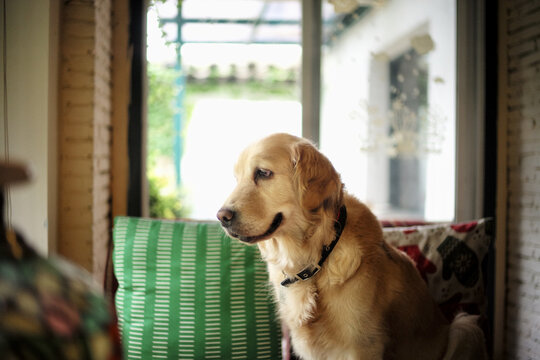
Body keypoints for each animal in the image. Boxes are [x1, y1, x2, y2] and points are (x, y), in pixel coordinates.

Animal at [217, 133, 488, 360]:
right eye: (237, 178)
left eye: (263, 173)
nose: (222, 217)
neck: (316, 258)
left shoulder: (363, 346)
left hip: (465, 327)